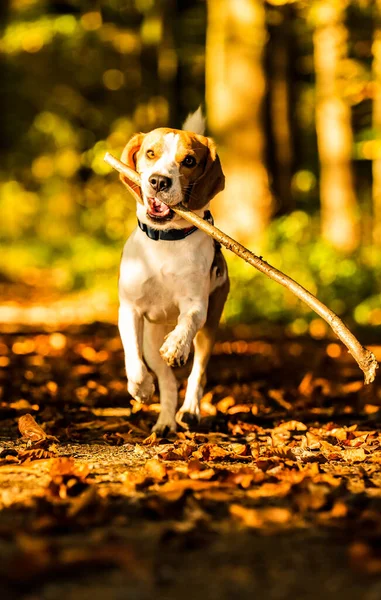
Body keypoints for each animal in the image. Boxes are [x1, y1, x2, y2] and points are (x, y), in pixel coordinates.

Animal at [118, 110, 229, 434]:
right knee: (166, 381)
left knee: (197, 373)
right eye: (150, 153)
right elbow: (131, 356)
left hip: (209, 328)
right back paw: (165, 421)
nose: (159, 181)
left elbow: (187, 323)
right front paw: (140, 388)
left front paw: (177, 346)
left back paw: (189, 410)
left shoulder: (196, 305)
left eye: (189, 161)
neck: (165, 240)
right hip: (150, 341)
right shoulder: (129, 309)